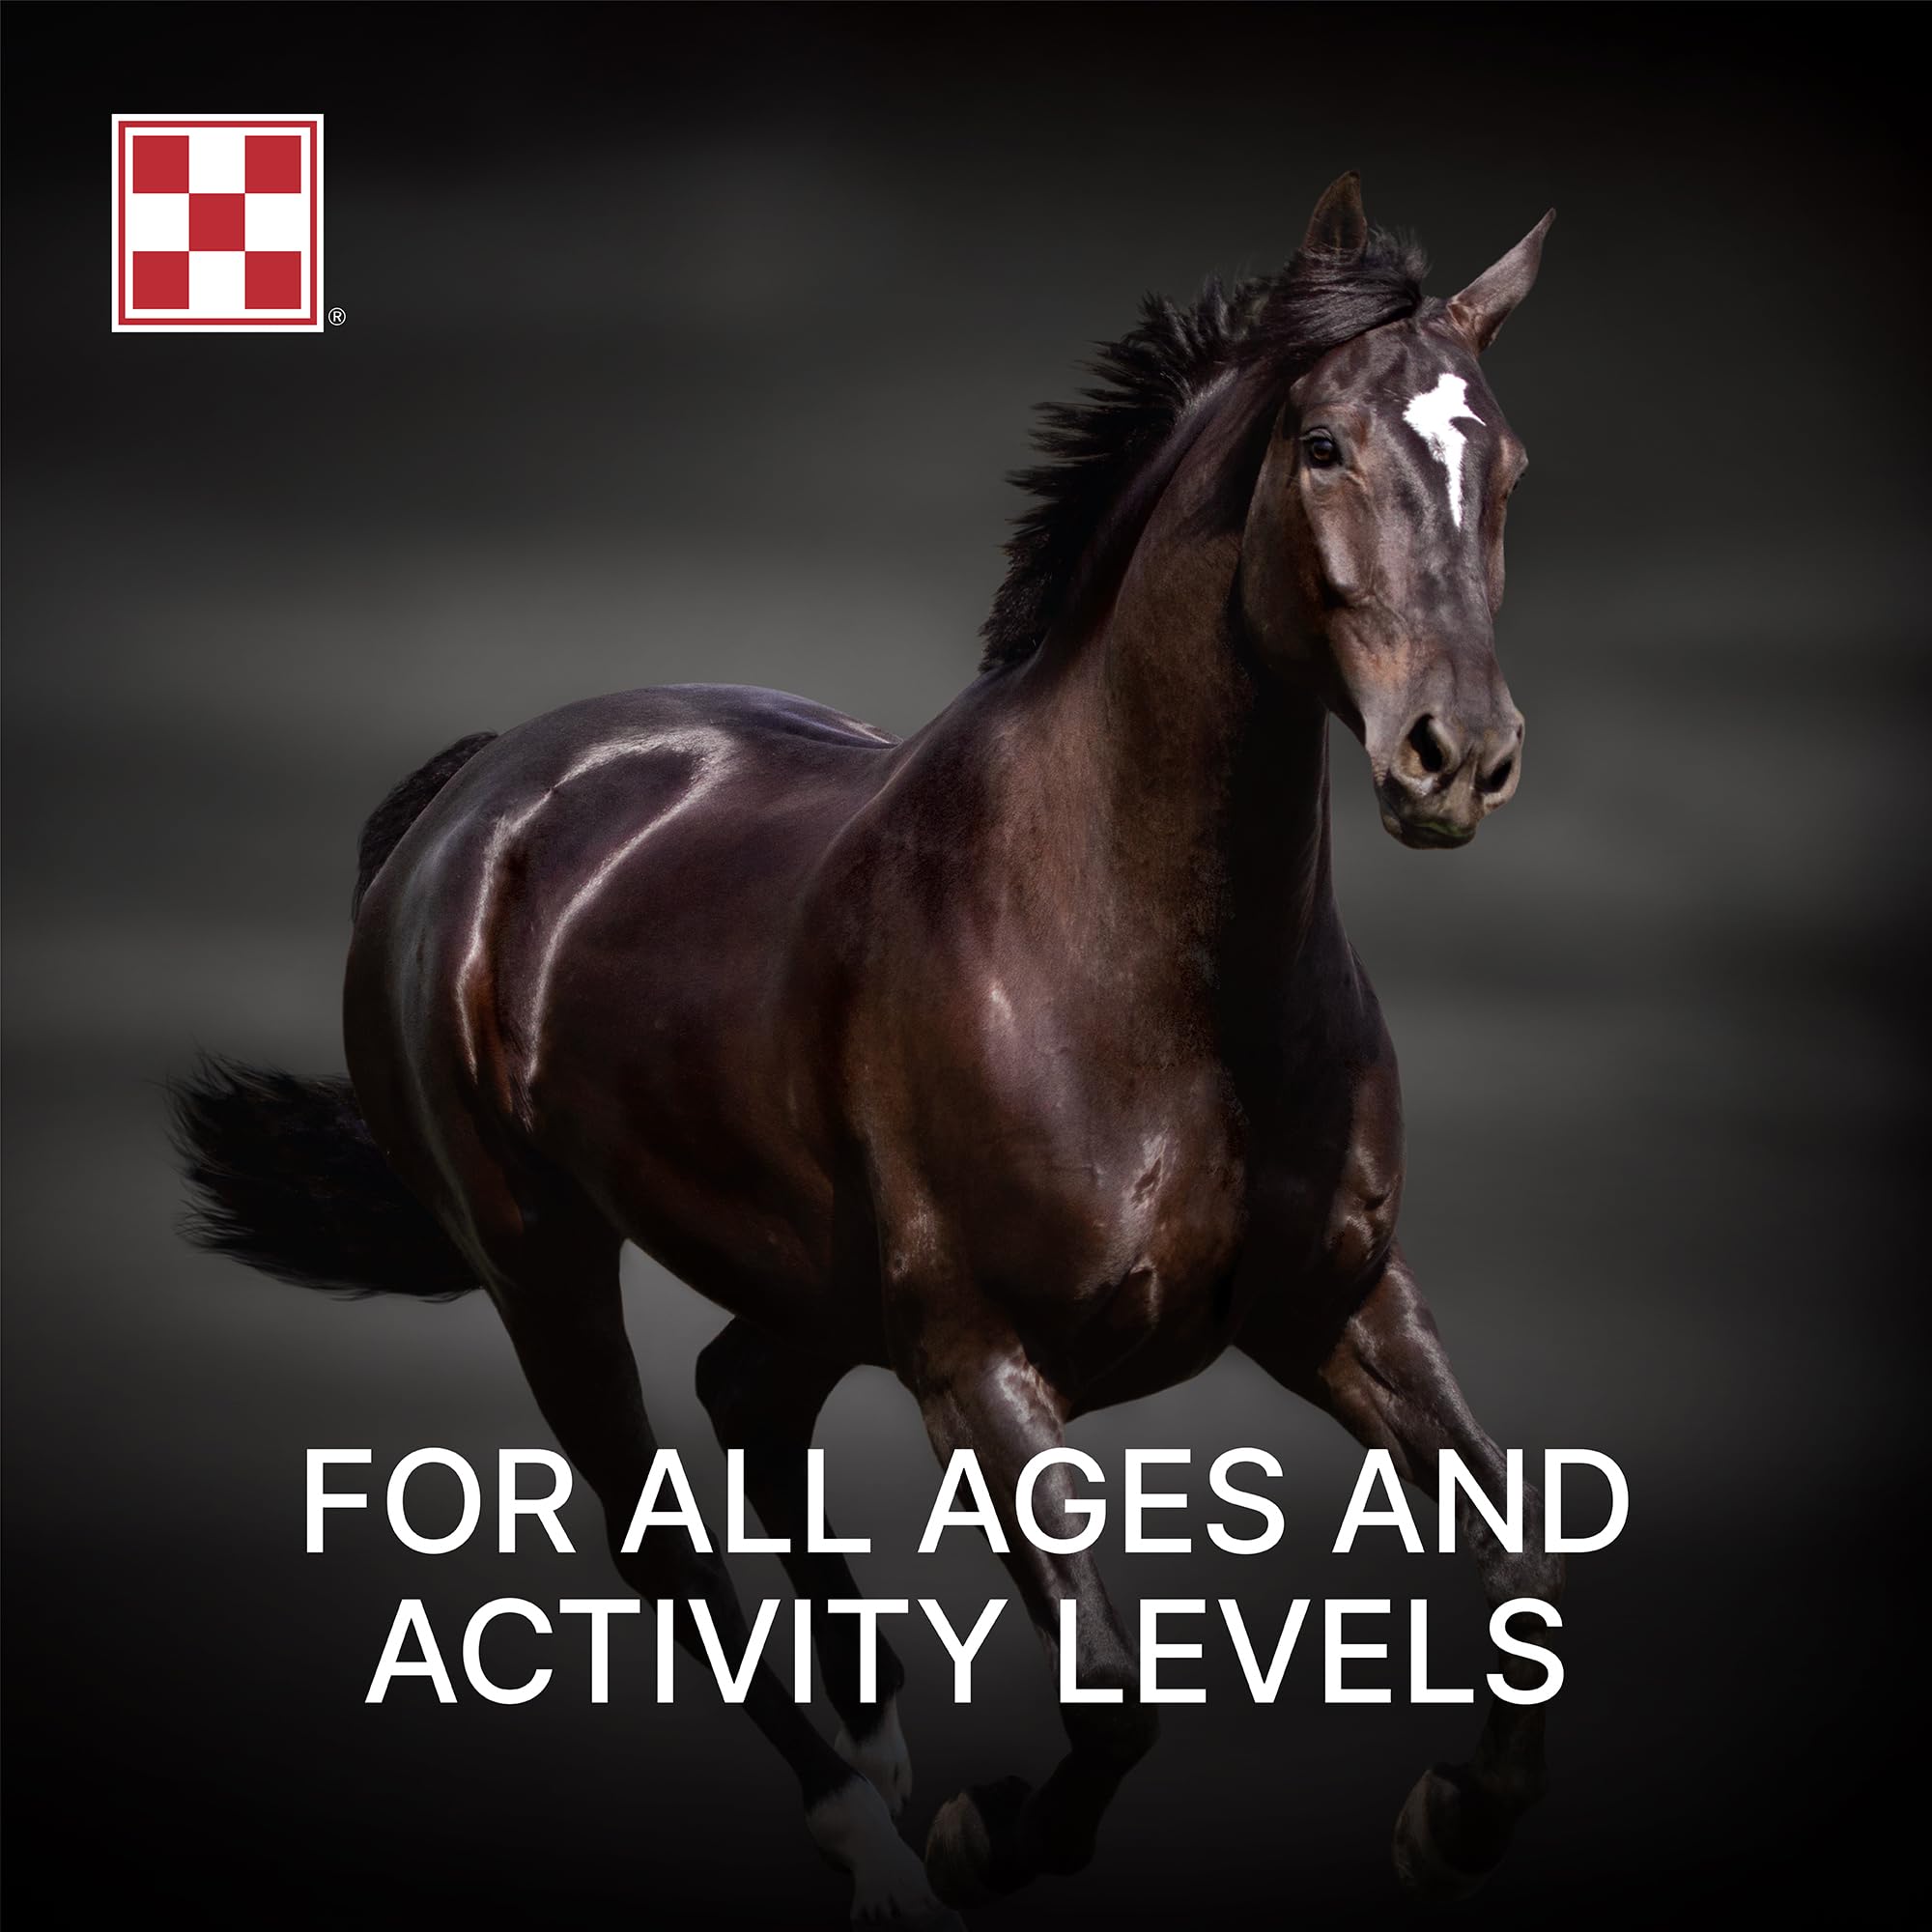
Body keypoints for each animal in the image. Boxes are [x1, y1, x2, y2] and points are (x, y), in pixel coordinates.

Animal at [171, 172, 1560, 1923]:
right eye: (1321, 445)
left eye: (1503, 465)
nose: (1458, 756)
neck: (1144, 972)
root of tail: (474, 800)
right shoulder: (980, 1365)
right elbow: (1118, 1689)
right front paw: (986, 1835)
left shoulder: (1339, 1305)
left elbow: (1519, 1573)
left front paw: (1454, 1819)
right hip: (542, 1259)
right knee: (653, 1531)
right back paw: (875, 1834)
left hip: (807, 1277)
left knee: (746, 1393)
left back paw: (878, 1732)